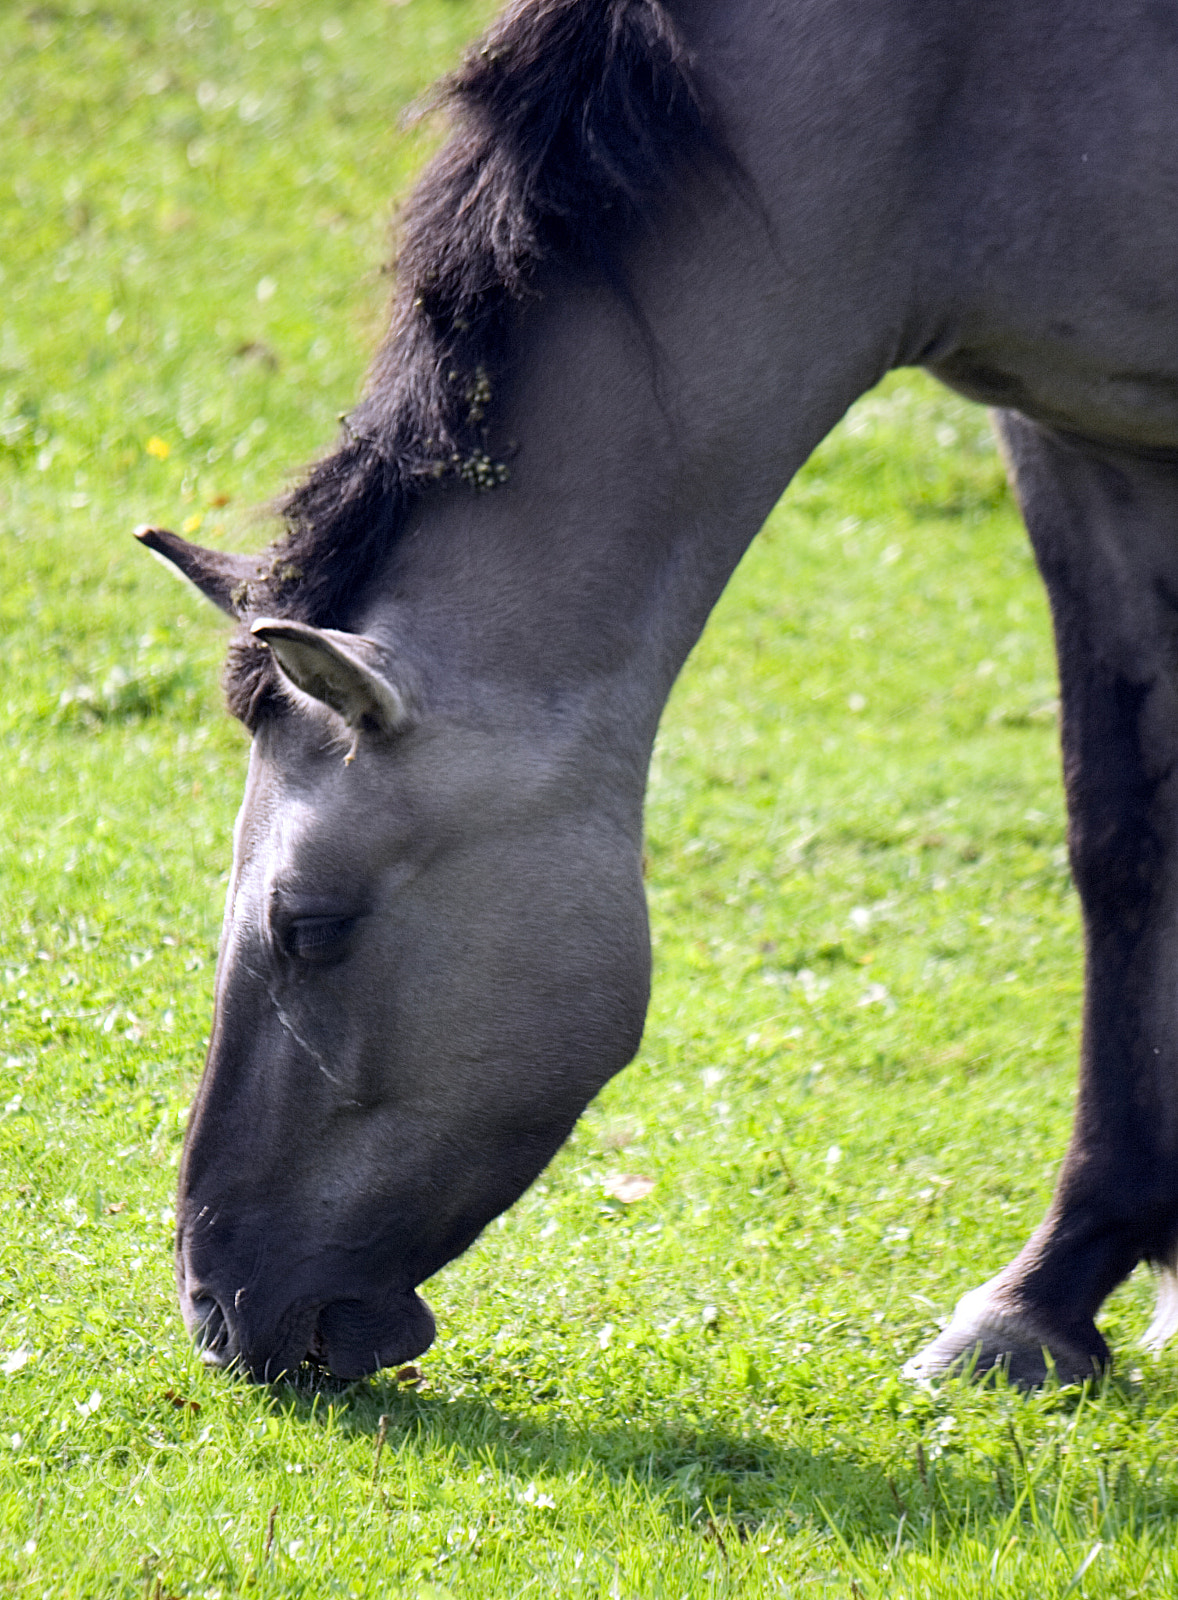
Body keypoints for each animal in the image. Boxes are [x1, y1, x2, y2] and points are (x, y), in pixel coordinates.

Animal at [138, 0, 1178, 1384]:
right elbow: (1118, 840)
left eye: (308, 927)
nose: (218, 1300)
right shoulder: (1075, 437)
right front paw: (1054, 1288)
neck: (943, 103)